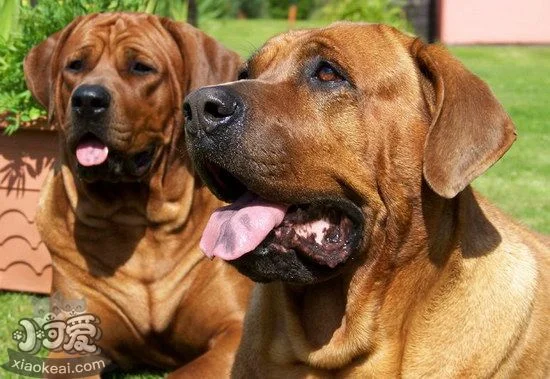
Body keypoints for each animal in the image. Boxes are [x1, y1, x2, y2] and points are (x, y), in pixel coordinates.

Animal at [23, 11, 252, 378]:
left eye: (141, 67)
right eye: (75, 65)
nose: (87, 99)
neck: (135, 219)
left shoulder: (236, 331)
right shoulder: (74, 337)